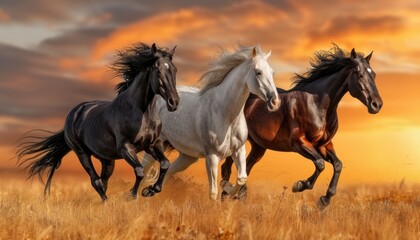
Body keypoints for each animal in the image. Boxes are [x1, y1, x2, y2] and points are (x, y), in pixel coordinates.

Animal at [16, 42, 179, 201]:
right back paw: (107, 203)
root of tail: (74, 114)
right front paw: (131, 195)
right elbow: (139, 171)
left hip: (106, 159)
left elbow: (165, 164)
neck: (142, 112)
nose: (174, 102)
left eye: (174, 70)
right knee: (96, 181)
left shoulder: (152, 144)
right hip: (82, 153)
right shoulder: (126, 148)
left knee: (103, 181)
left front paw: (150, 191)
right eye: (157, 70)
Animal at [141, 44, 278, 199]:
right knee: (144, 171)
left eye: (272, 73)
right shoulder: (212, 157)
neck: (227, 116)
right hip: (156, 145)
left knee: (168, 172)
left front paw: (227, 188)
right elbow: (213, 192)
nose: (275, 102)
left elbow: (242, 178)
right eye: (258, 72)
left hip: (187, 156)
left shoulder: (239, 150)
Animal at [221, 46, 382, 207]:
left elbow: (338, 165)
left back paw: (238, 196)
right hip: (238, 142)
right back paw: (226, 196)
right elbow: (320, 163)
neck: (317, 104)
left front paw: (325, 200)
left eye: (373, 74)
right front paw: (300, 185)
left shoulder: (323, 145)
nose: (377, 105)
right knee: (227, 168)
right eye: (360, 74)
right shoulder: (299, 143)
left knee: (245, 169)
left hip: (259, 146)